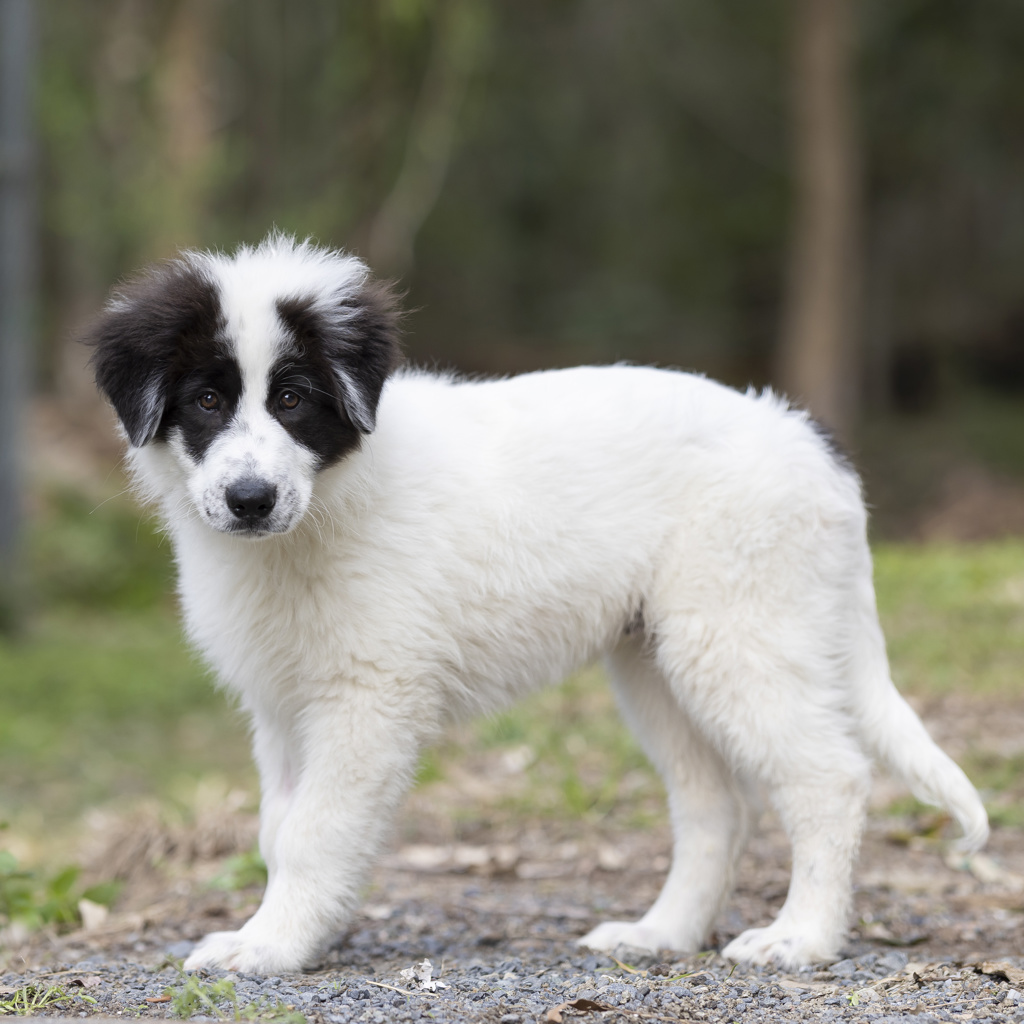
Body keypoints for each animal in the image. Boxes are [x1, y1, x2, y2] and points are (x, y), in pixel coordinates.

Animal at [86, 234, 988, 974]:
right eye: (207, 401)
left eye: (293, 399)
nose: (250, 499)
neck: (328, 502)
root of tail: (808, 439)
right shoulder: (282, 707)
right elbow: (279, 830)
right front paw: (291, 934)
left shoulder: (367, 700)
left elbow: (314, 831)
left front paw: (273, 946)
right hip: (655, 661)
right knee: (717, 807)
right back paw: (661, 934)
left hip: (739, 635)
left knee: (828, 777)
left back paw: (802, 938)